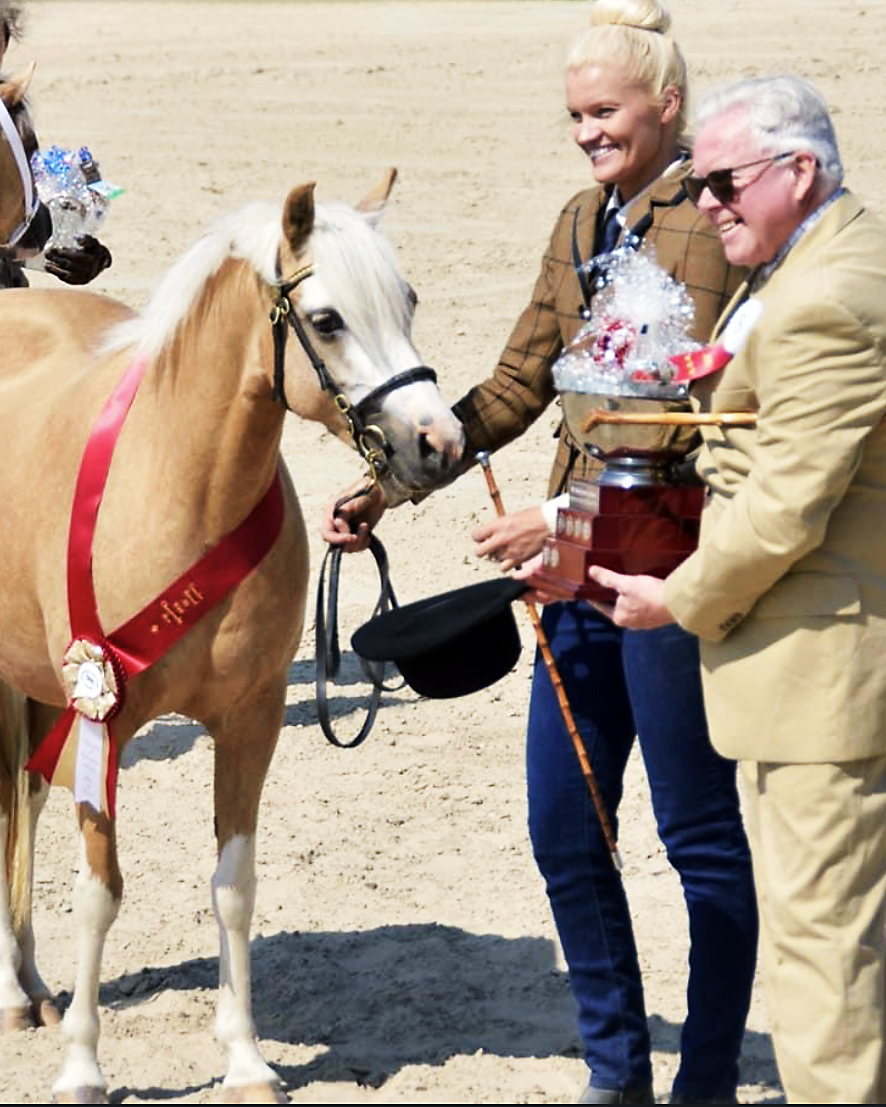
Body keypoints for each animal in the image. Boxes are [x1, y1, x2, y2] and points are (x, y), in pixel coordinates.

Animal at [0, 168, 464, 1103]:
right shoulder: (102, 716)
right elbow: (99, 891)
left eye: (408, 299)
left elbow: (234, 886)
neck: (176, 486)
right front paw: (82, 1067)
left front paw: (245, 1058)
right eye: (327, 318)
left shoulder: (250, 718)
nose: (438, 443)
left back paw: (32, 984)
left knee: (22, 804)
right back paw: (12, 990)